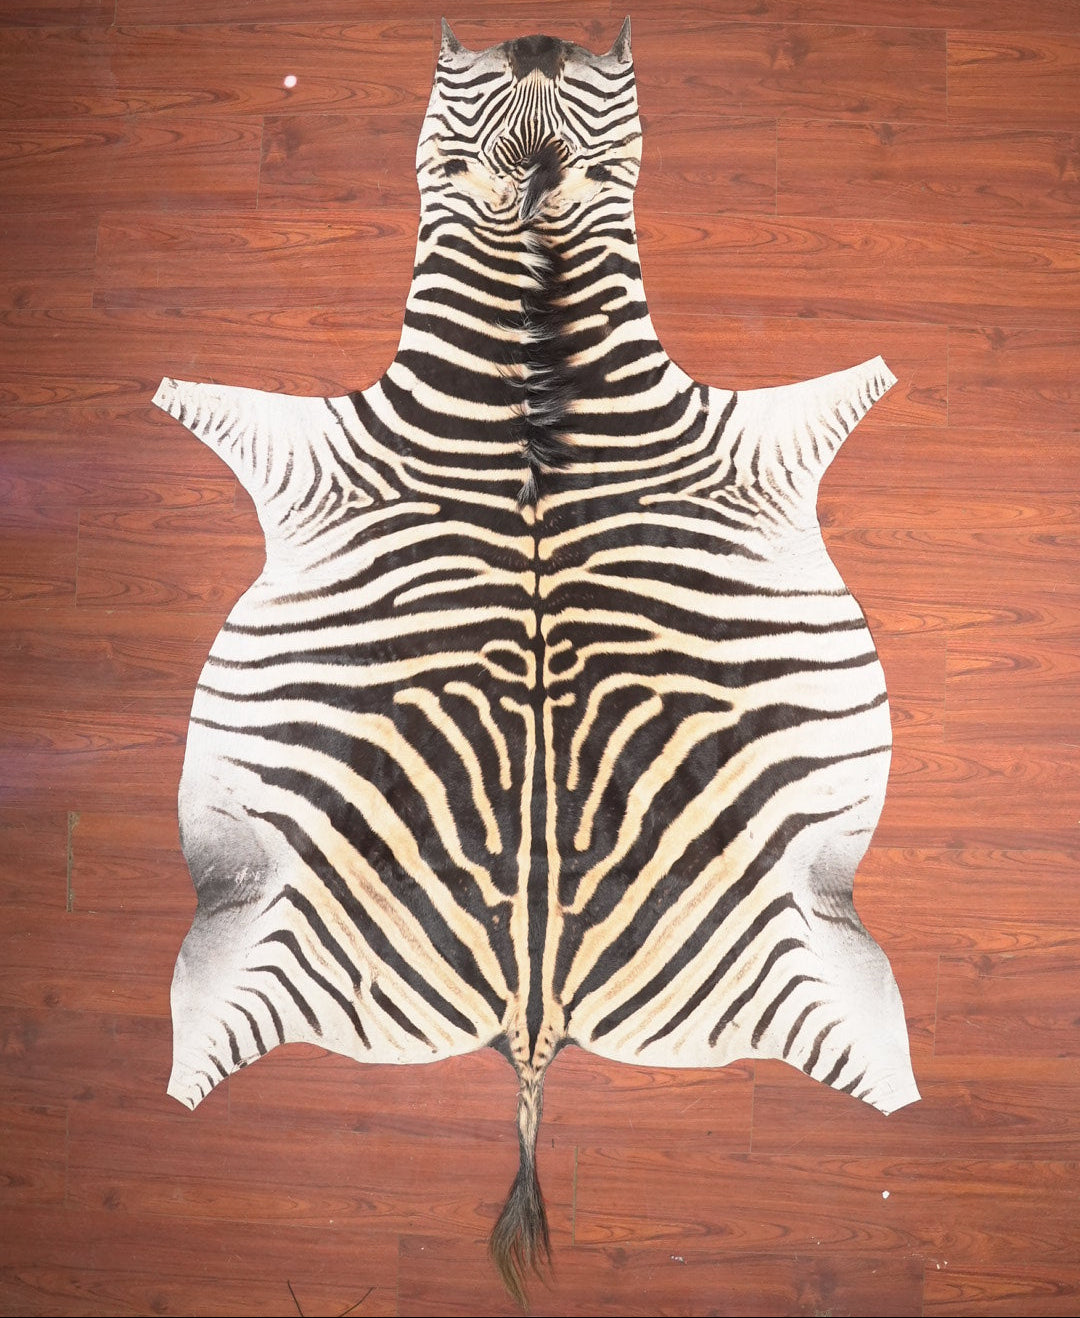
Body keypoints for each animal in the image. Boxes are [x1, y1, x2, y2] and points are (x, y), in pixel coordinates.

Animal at [154, 20, 918, 1304]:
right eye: (463, 92)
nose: (537, 35)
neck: (533, 337)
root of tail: (533, 1016)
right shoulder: (321, 442)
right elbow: (212, 404)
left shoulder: (751, 435)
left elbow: (846, 387)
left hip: (805, 945)